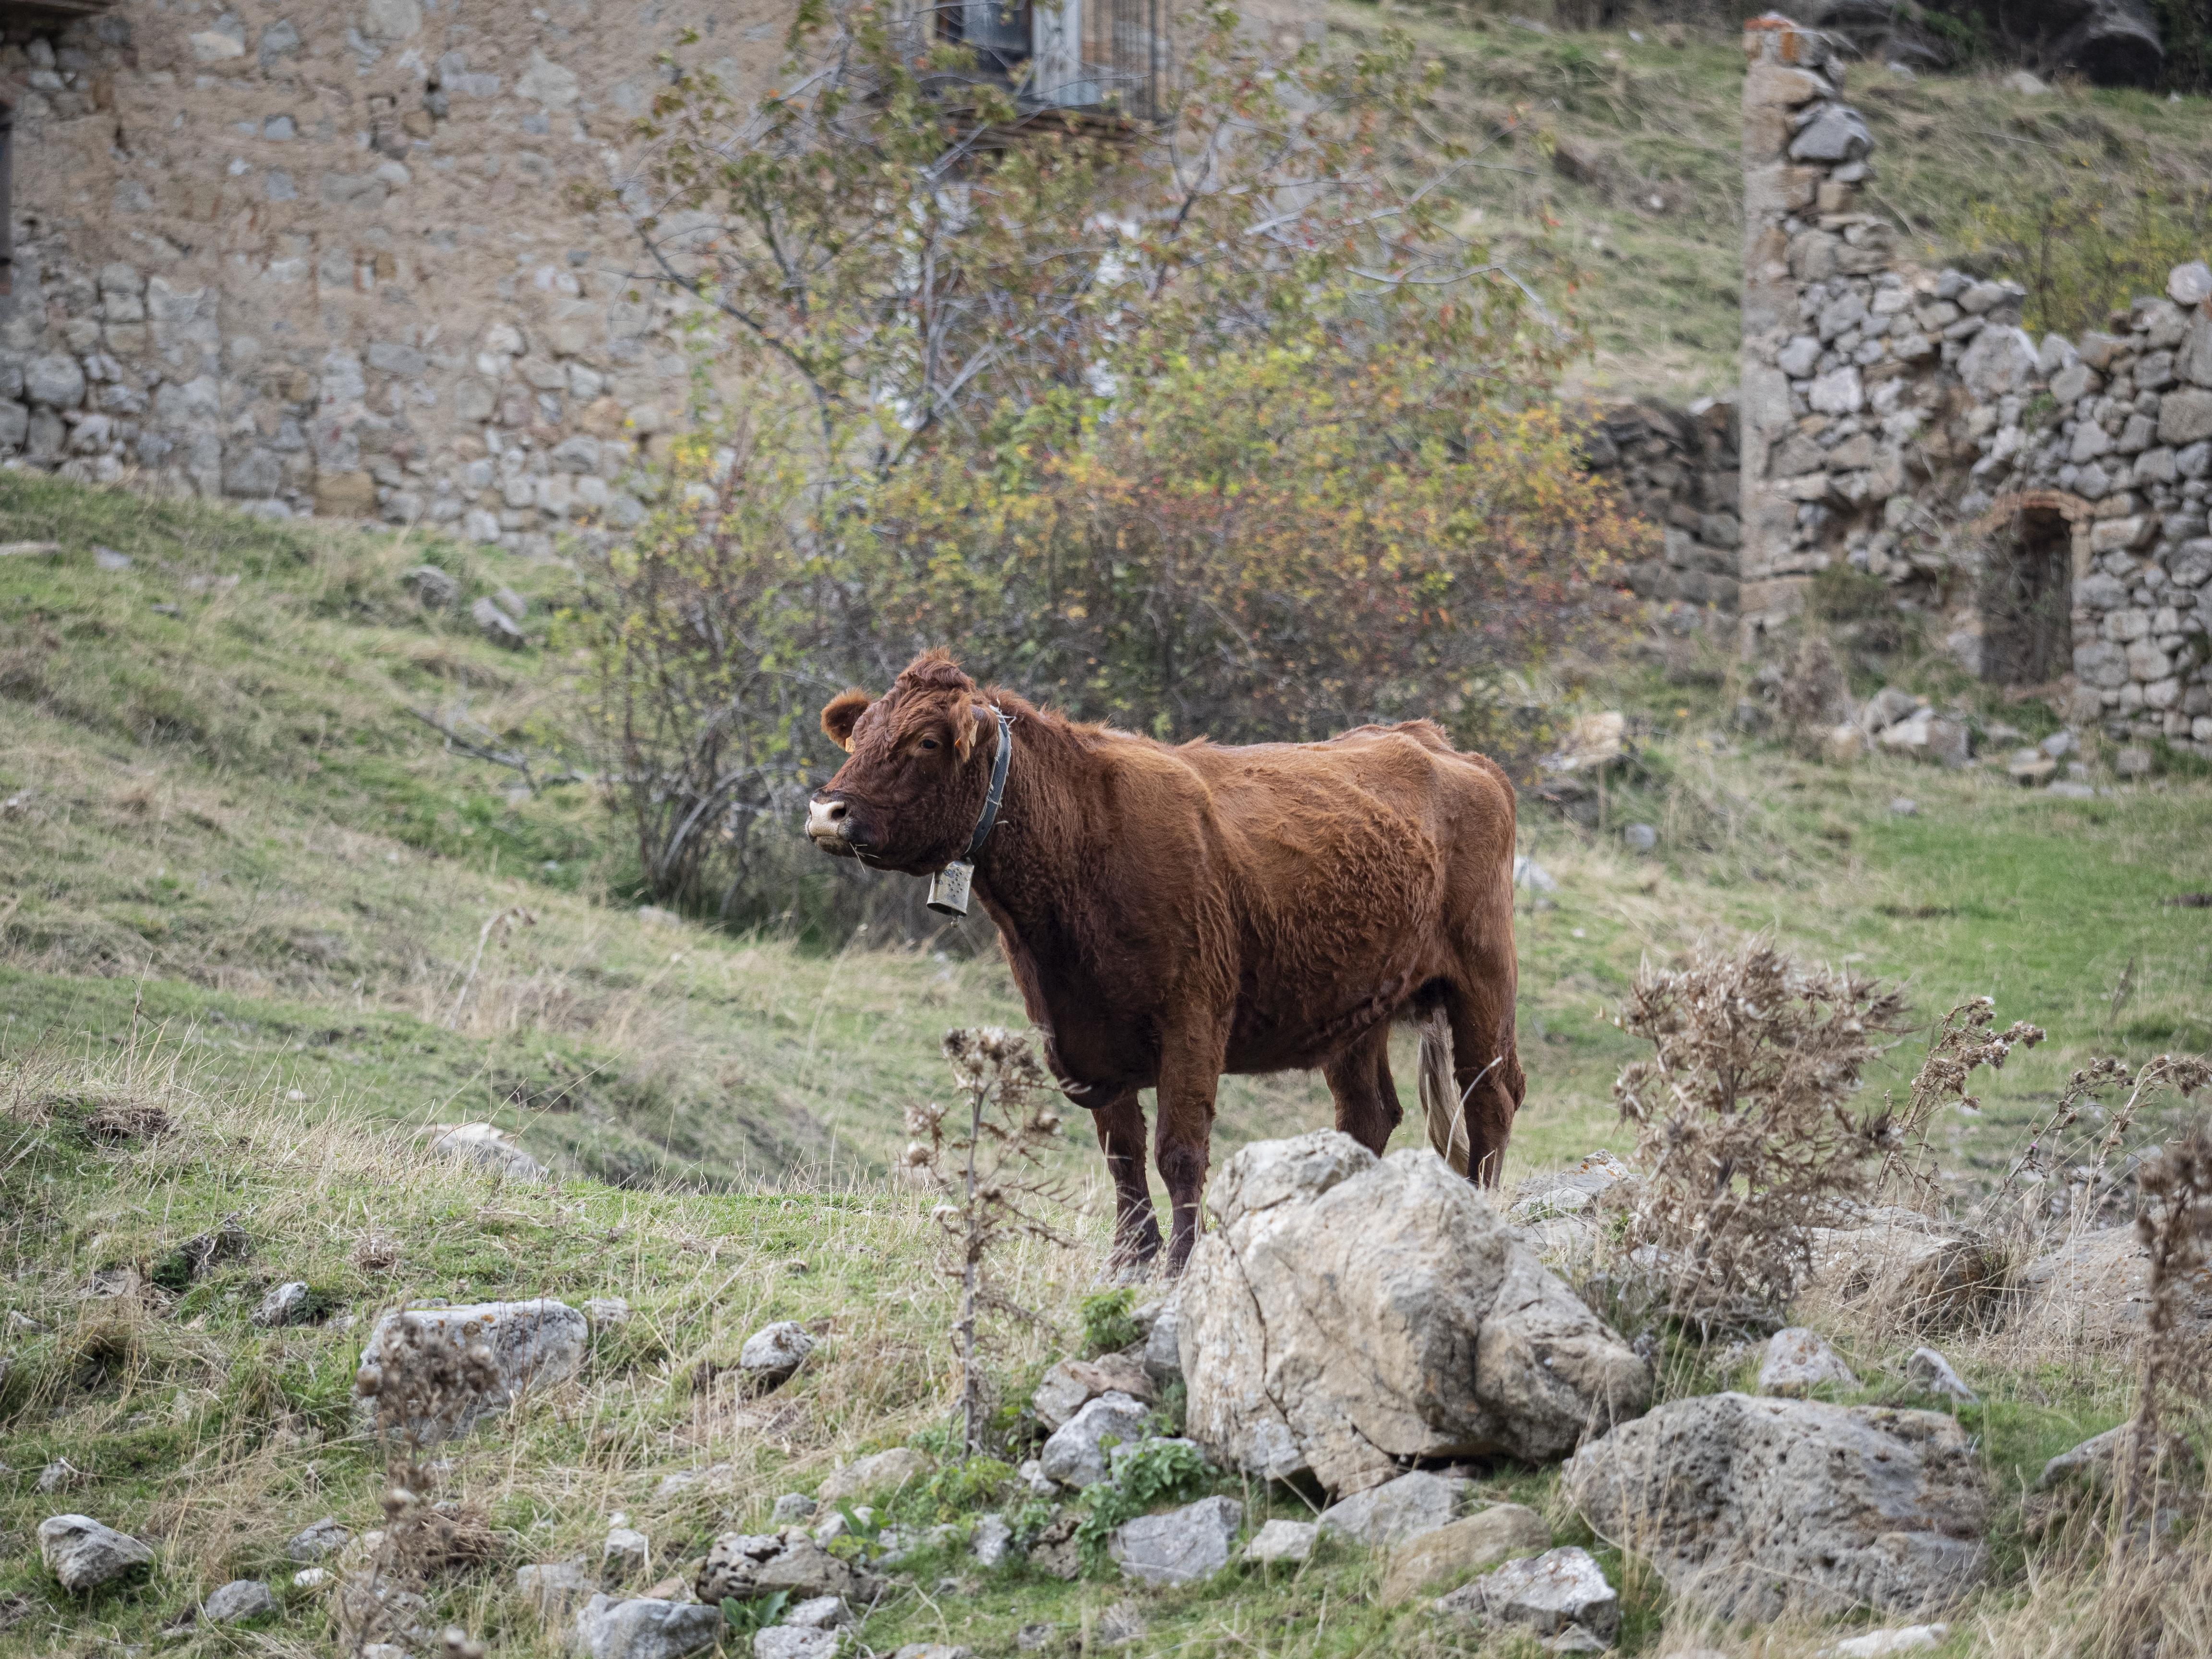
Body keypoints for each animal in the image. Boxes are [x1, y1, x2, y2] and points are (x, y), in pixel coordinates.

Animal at [809, 650, 1522, 1274]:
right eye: (860, 736)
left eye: (927, 741)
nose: (826, 811)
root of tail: (1435, 741)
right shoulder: (1075, 1034)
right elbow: (1121, 1152)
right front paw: (1129, 1260)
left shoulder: (1193, 1018)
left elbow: (1179, 1149)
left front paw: (1180, 1262)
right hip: (1358, 1004)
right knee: (1368, 1113)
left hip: (1484, 981)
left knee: (1490, 1098)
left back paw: (1483, 1212)